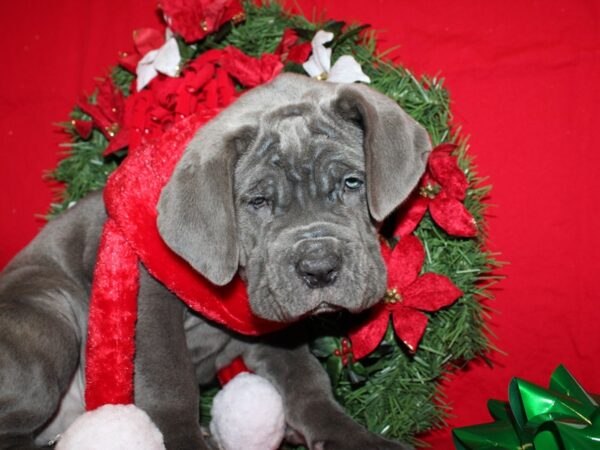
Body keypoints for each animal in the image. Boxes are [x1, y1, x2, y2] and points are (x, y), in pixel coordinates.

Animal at [0, 74, 432, 450]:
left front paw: (353, 437)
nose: (319, 266)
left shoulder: (272, 325)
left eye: (351, 182)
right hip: (51, 314)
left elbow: (306, 381)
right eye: (257, 201)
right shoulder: (149, 298)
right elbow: (169, 383)